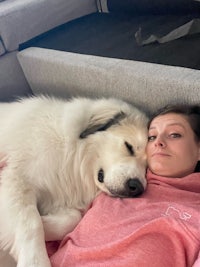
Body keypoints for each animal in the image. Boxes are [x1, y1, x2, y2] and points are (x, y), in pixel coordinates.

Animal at [0, 97, 148, 267]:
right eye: (129, 147)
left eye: (147, 167)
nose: (137, 187)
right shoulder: (16, 179)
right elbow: (31, 222)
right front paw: (35, 261)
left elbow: (71, 219)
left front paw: (45, 222)